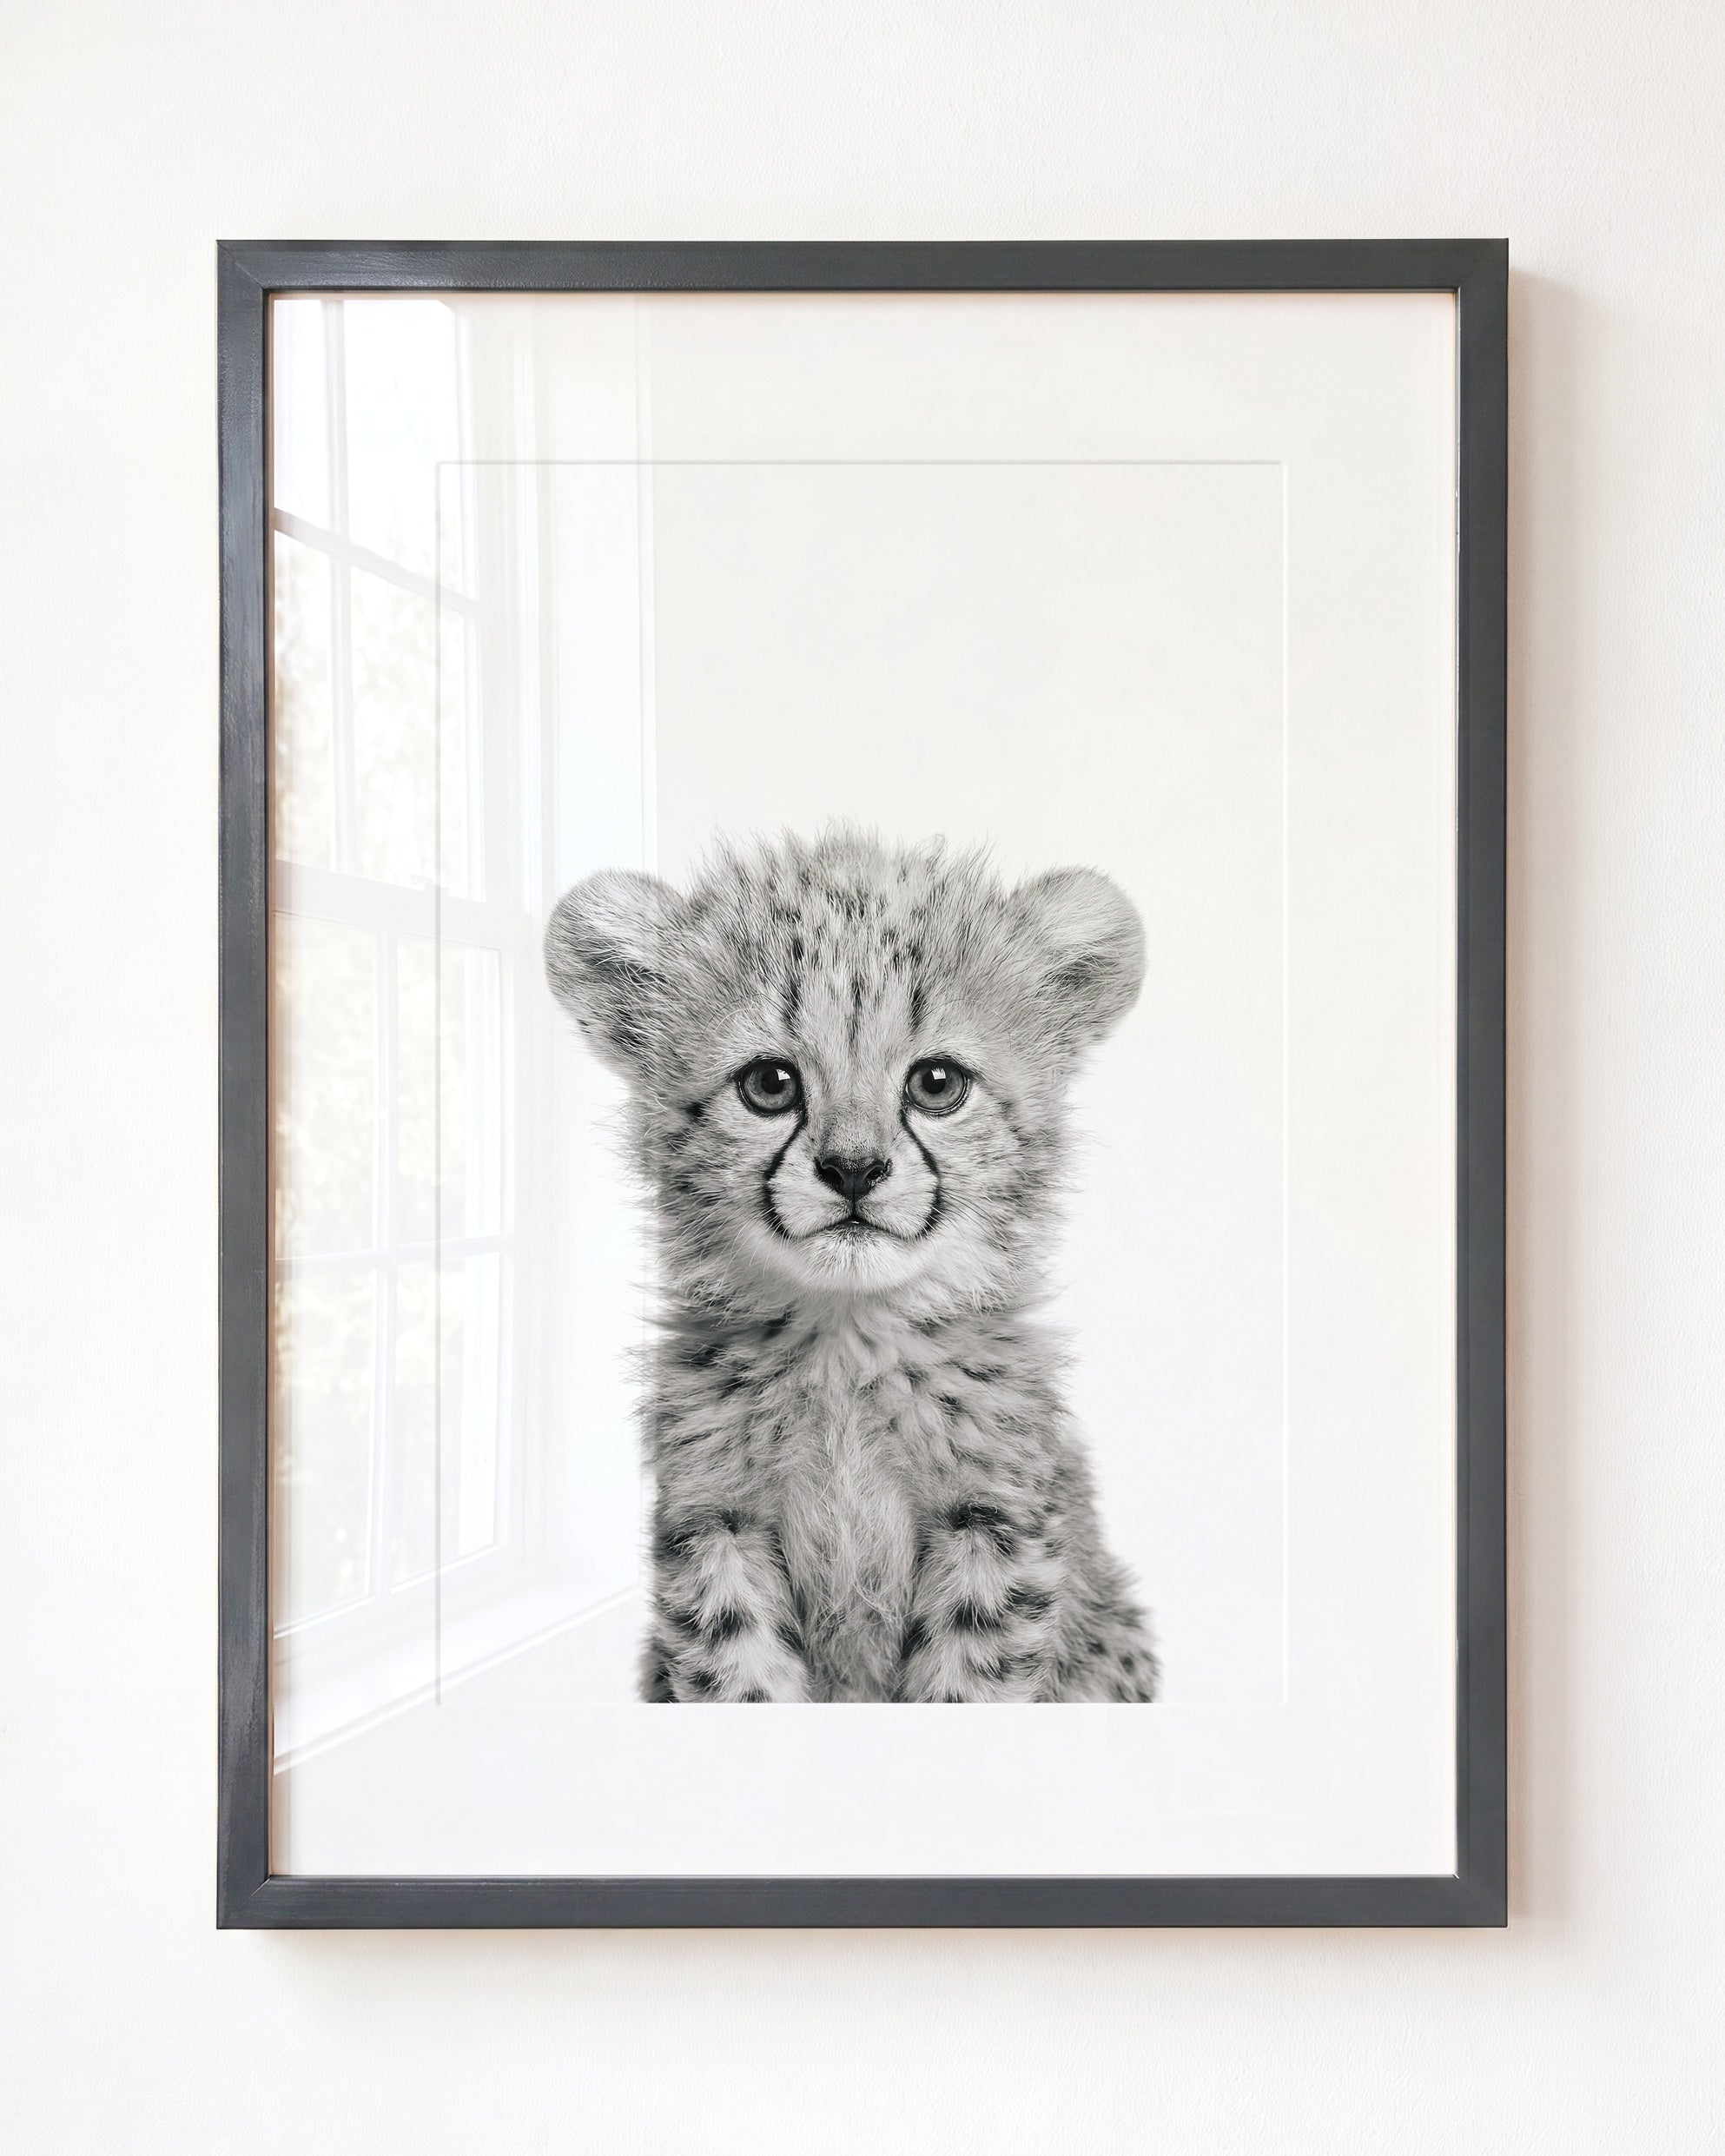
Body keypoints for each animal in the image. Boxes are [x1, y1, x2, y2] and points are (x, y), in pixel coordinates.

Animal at [544, 827, 1159, 1703]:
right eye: (770, 1084)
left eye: (937, 1083)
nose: (855, 1170)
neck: (847, 1340)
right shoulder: (715, 1525)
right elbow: (741, 1675)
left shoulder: (994, 1524)